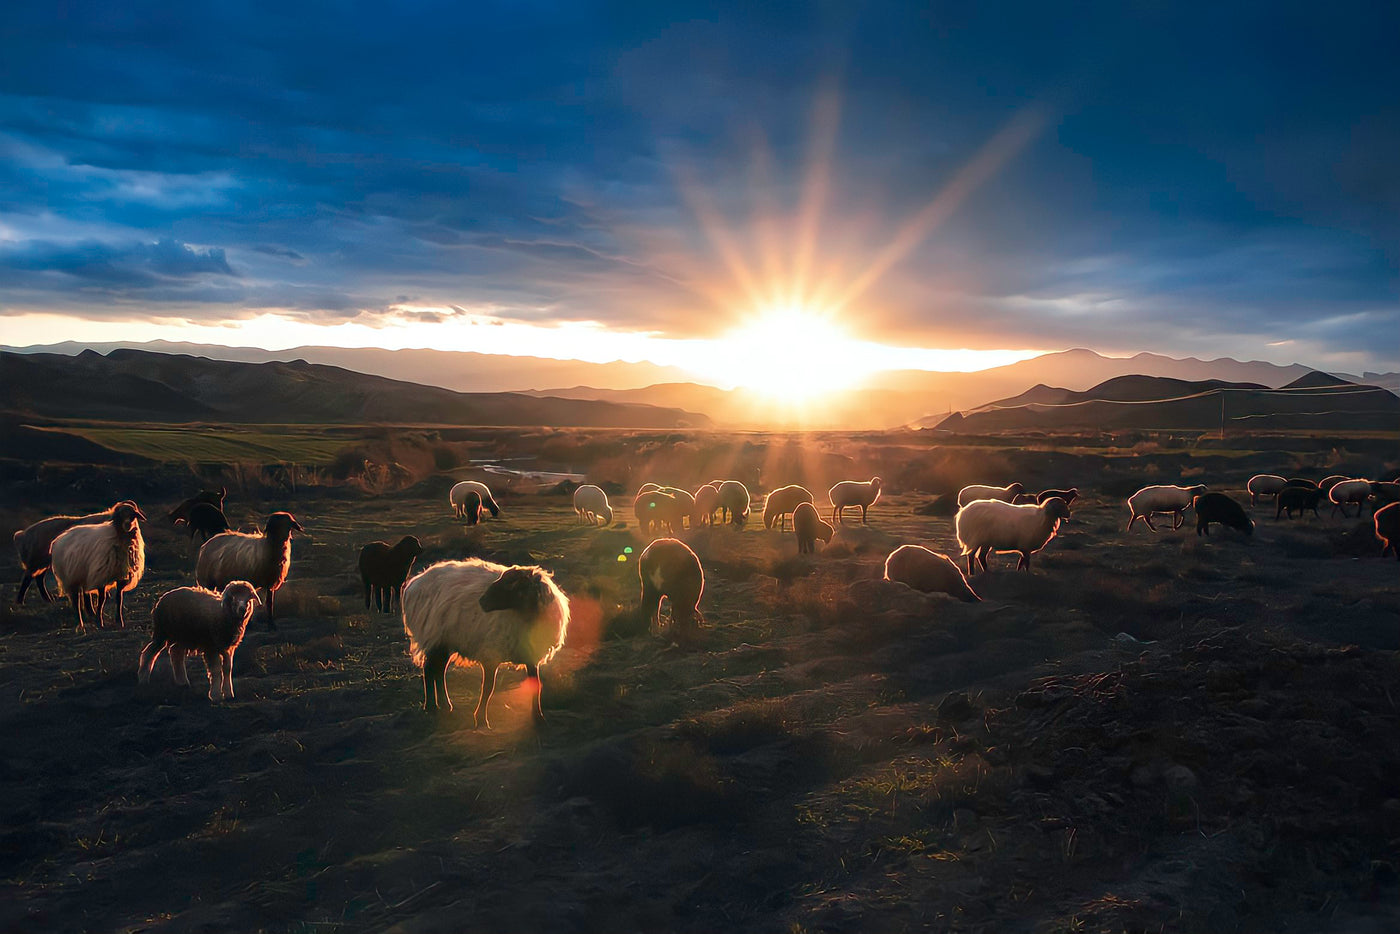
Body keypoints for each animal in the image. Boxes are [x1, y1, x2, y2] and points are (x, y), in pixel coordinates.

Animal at [51, 501, 147, 632]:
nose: (127, 525)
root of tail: (59, 538)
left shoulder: (121, 576)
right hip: (70, 577)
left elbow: (119, 598)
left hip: (81, 575)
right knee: (76, 601)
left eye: (133, 515)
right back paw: (80, 623)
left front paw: (119, 621)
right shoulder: (101, 576)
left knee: (83, 595)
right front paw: (99, 622)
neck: (119, 537)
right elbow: (102, 600)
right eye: (119, 515)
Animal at [400, 560, 568, 728]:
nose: (482, 602)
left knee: (439, 670)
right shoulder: (491, 653)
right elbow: (488, 688)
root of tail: (414, 583)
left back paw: (445, 705)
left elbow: (536, 685)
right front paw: (481, 720)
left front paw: (539, 718)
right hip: (434, 636)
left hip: (445, 641)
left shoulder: (531, 656)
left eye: (513, 584)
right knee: (429, 670)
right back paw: (431, 707)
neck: (524, 616)